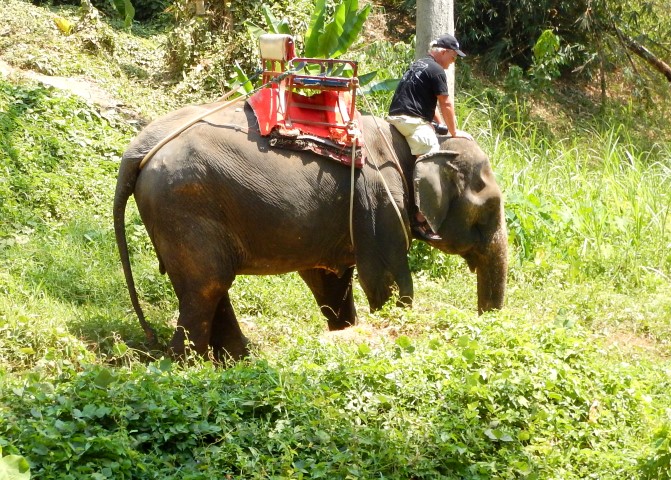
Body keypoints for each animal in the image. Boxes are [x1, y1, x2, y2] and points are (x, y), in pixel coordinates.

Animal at [113, 98, 507, 361]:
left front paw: (347, 336)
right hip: (184, 205)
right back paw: (190, 367)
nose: (485, 327)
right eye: (490, 207)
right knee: (206, 286)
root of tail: (139, 148)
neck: (406, 143)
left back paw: (238, 361)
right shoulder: (379, 203)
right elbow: (386, 280)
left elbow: (329, 282)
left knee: (209, 285)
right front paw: (394, 332)